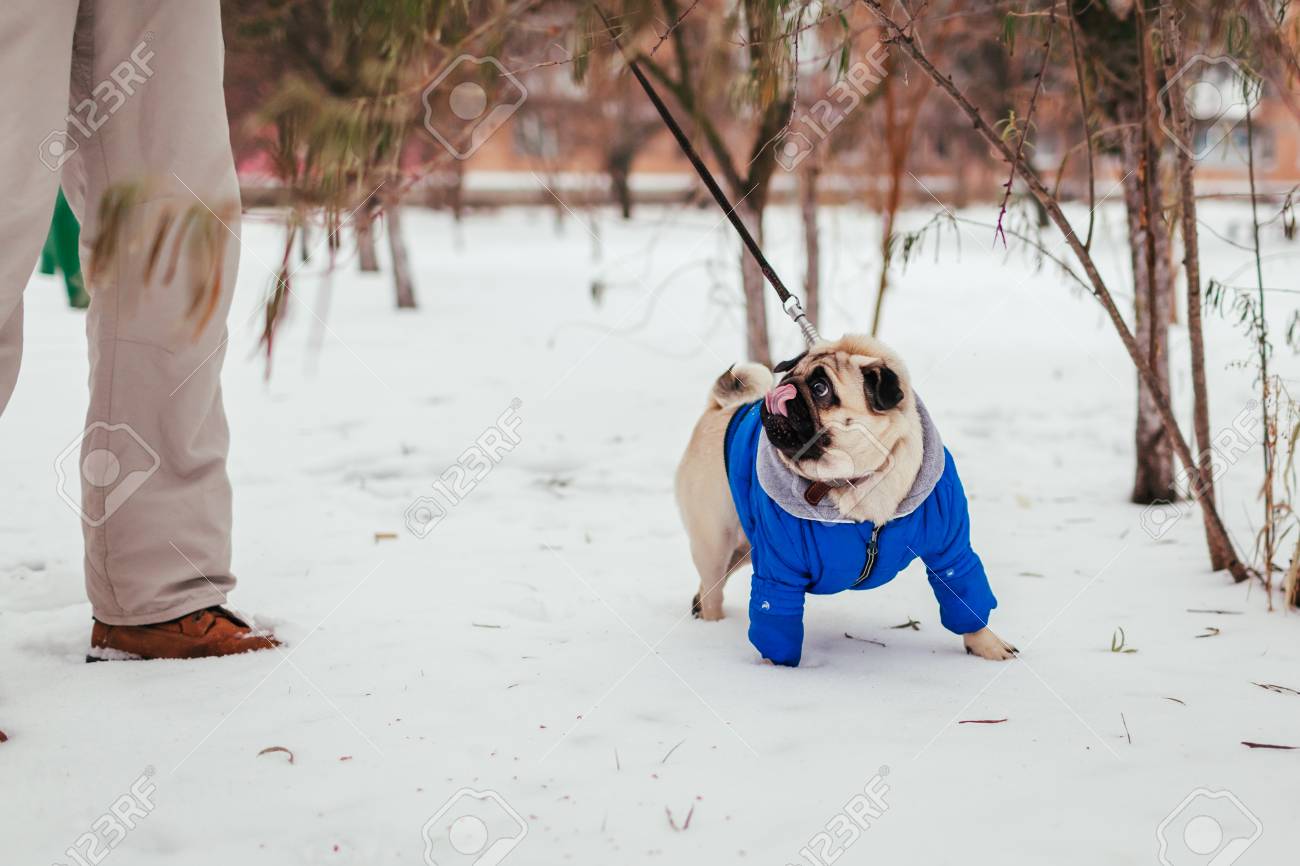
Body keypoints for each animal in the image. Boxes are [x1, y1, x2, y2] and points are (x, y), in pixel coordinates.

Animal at [676, 332, 1019, 663]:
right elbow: (775, 613)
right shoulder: (779, 569)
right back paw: (712, 624)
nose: (785, 388)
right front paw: (777, 669)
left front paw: (987, 646)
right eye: (788, 375)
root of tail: (718, 408)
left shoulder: (951, 551)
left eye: (820, 388)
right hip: (714, 541)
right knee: (713, 588)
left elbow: (964, 592)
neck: (853, 481)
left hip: (744, 547)